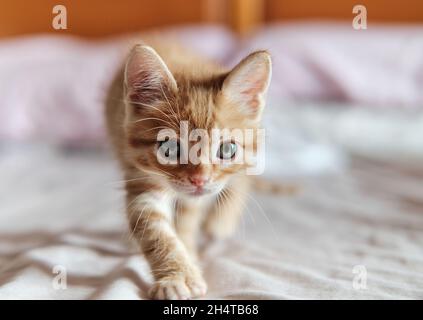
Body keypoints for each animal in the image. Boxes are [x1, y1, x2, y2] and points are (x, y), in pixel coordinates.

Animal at [105, 40, 272, 300]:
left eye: (227, 149)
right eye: (170, 148)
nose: (199, 180)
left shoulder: (196, 196)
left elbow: (187, 219)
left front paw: (188, 257)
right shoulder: (140, 176)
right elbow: (154, 228)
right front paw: (177, 275)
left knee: (242, 180)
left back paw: (221, 221)